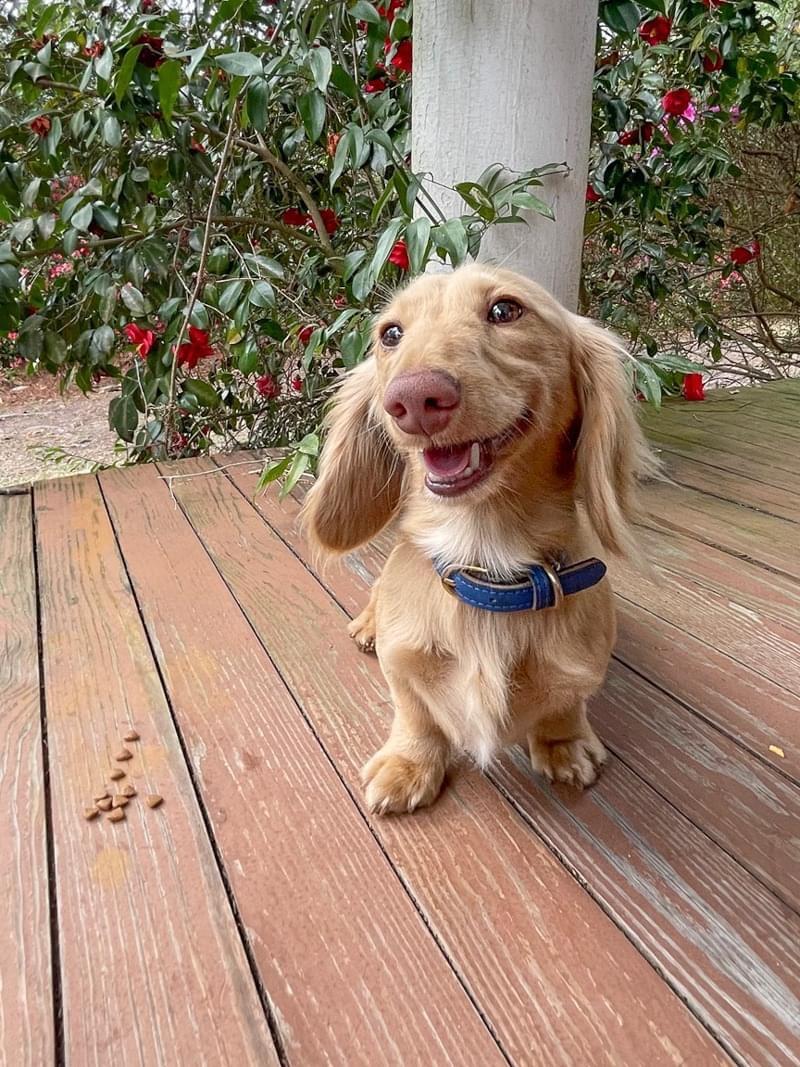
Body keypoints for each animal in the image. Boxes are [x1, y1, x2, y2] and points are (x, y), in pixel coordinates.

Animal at [302, 263, 653, 815]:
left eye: (505, 310)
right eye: (391, 334)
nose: (415, 399)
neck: (484, 559)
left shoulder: (581, 669)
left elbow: (566, 703)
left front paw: (564, 743)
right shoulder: (403, 668)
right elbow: (415, 711)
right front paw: (409, 763)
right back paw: (368, 624)